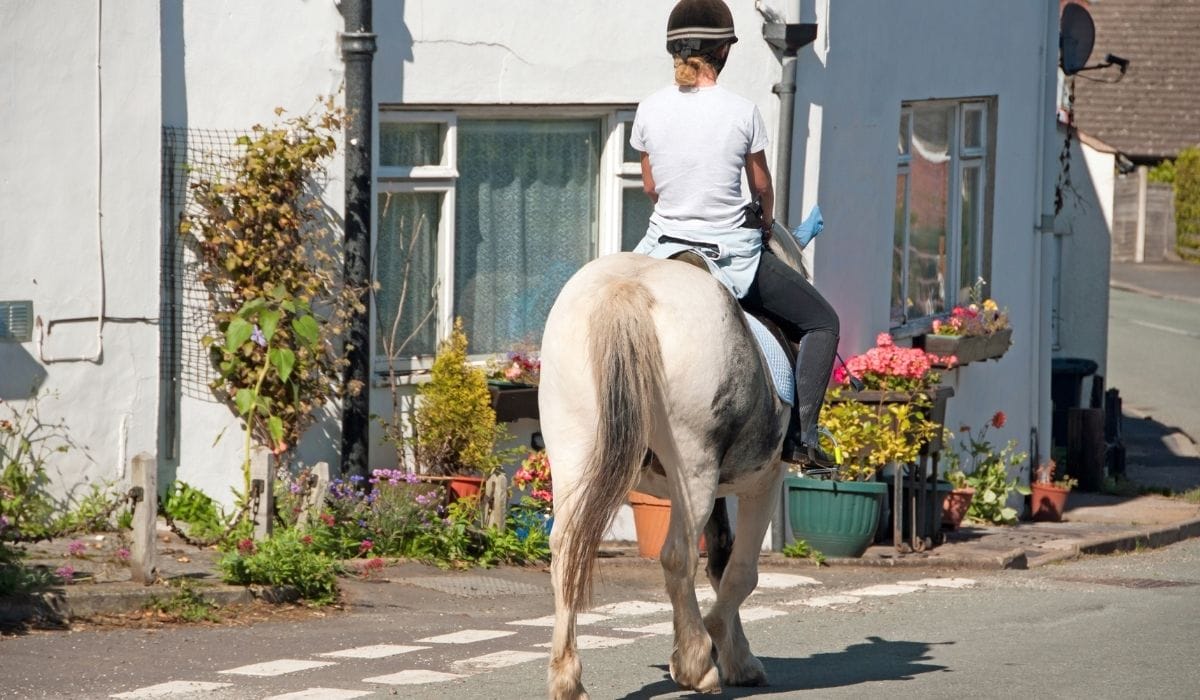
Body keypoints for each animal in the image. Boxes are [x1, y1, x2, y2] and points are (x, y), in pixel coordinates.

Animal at [539, 249, 797, 699]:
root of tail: (627, 288)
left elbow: (721, 561)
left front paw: (736, 656)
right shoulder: (764, 480)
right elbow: (740, 571)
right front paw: (721, 647)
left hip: (573, 453)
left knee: (566, 552)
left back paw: (567, 679)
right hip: (694, 468)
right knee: (678, 555)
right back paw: (697, 663)